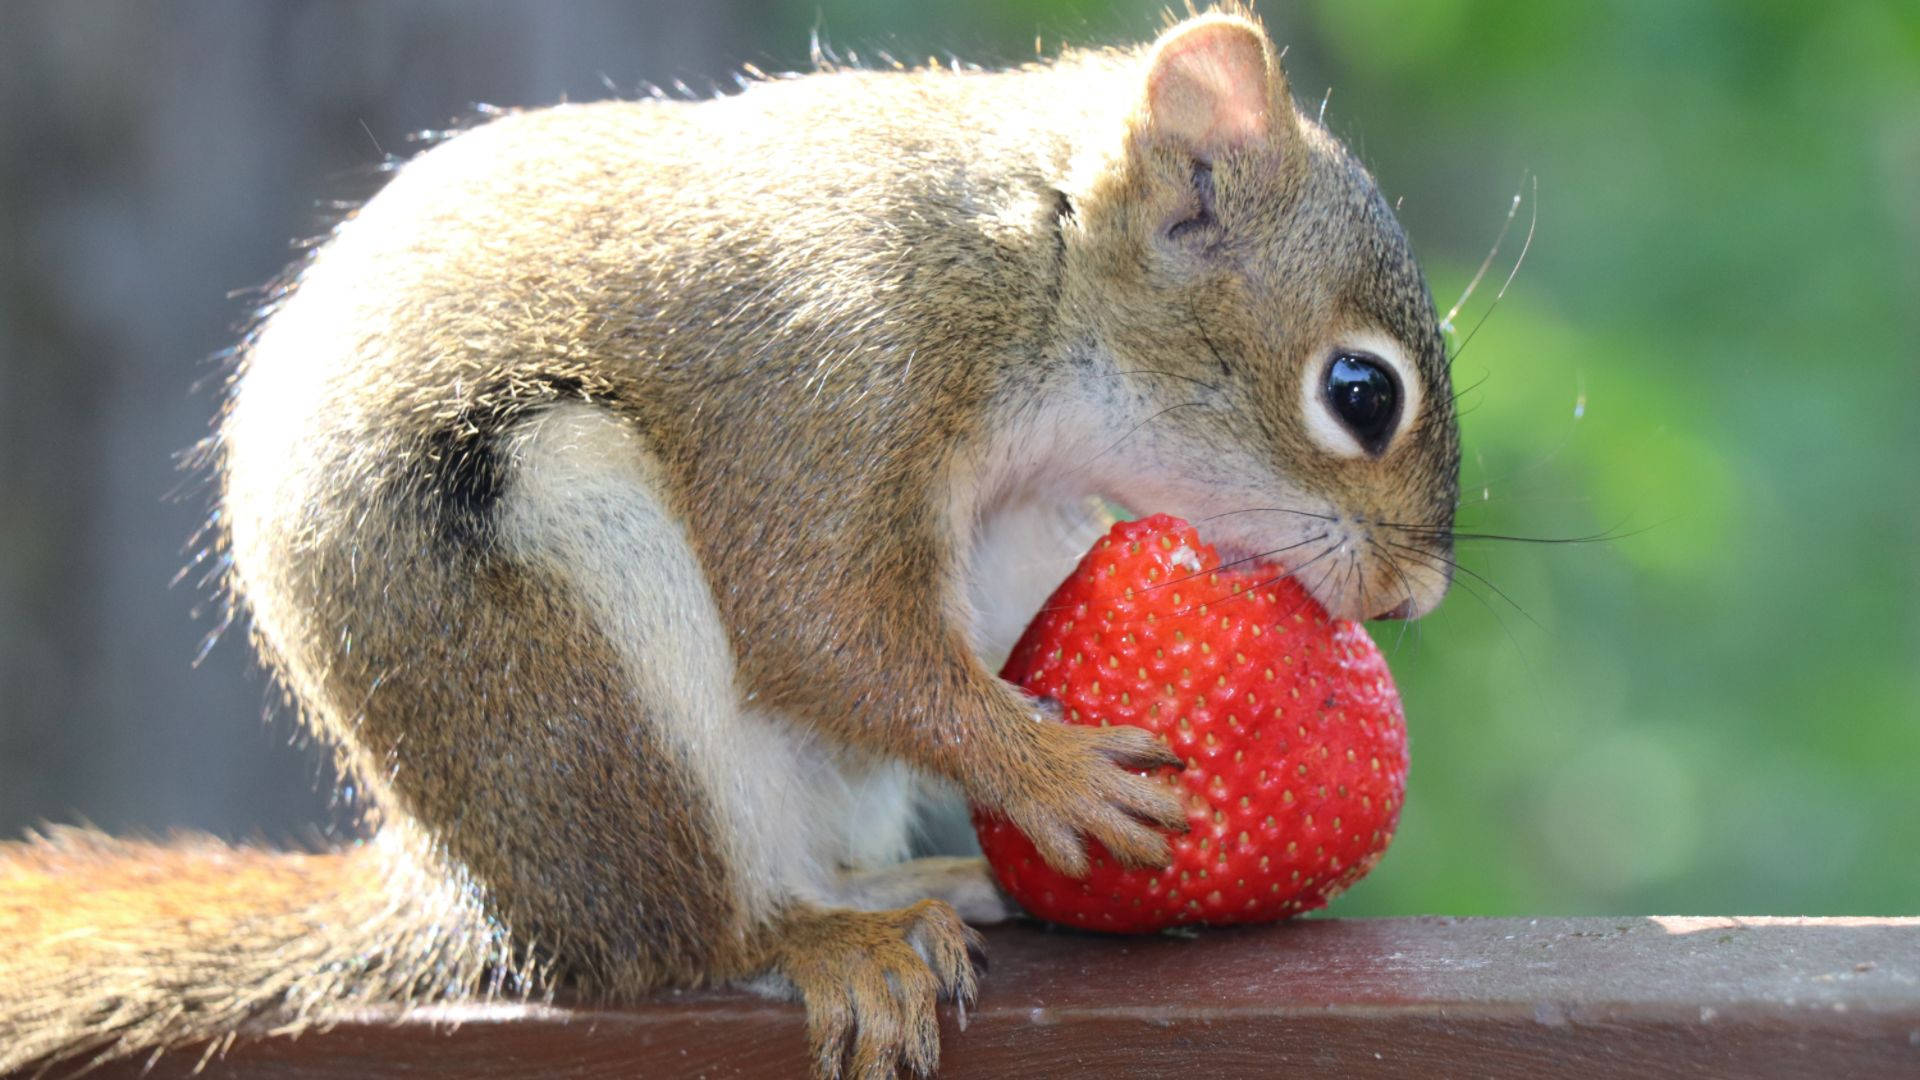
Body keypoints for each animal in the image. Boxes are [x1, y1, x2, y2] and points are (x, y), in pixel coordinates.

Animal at [0, 8, 1451, 1076]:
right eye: (1360, 393)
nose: (1417, 598)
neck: (1023, 269)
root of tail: (483, 899)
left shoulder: (1029, 517)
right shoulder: (831, 375)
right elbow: (816, 622)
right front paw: (1055, 772)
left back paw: (924, 884)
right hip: (583, 656)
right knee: (688, 937)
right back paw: (820, 939)